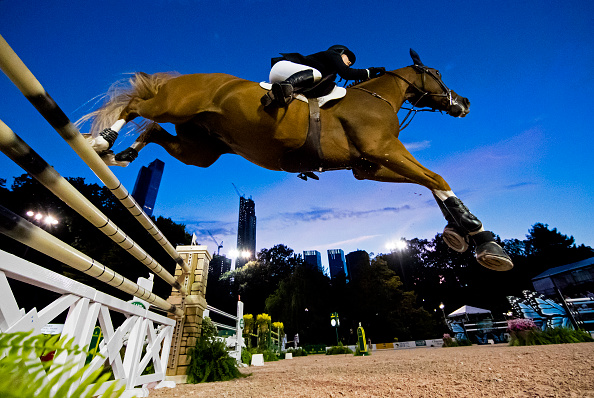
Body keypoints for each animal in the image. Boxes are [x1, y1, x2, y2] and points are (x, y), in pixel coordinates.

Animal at [81, 49, 512, 270]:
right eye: (437, 73)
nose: (465, 103)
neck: (379, 98)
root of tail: (184, 78)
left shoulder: (369, 167)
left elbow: (429, 183)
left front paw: (465, 235)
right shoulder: (384, 150)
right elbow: (436, 177)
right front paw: (480, 235)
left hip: (199, 151)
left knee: (154, 131)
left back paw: (121, 154)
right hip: (174, 106)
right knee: (137, 107)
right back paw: (101, 141)